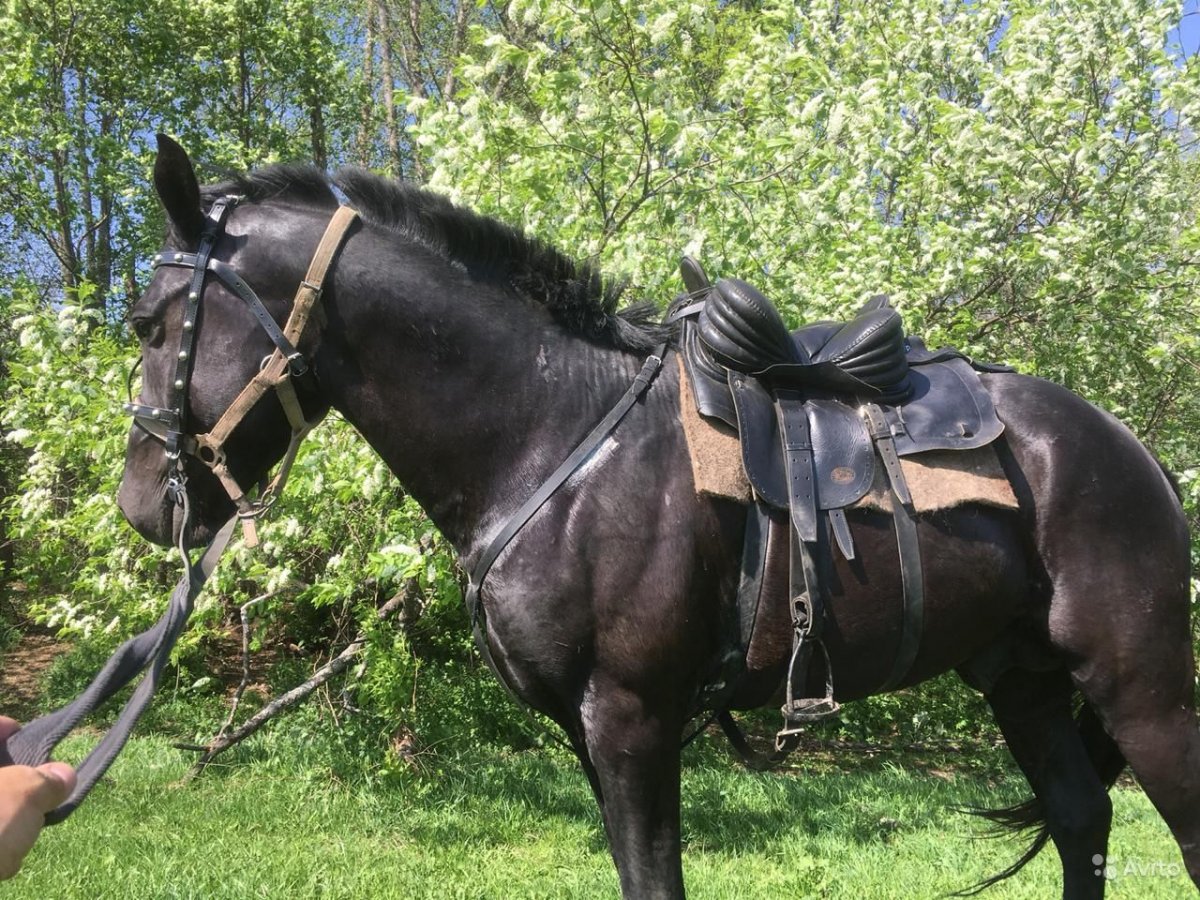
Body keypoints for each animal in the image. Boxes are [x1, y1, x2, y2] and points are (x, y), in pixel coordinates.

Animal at [117, 135, 1200, 899]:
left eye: (153, 323)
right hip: (1023, 680)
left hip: (1139, 682)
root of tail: (1133, 452)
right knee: (1082, 821)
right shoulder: (591, 734)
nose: (140, 506)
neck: (548, 431)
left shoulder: (633, 719)